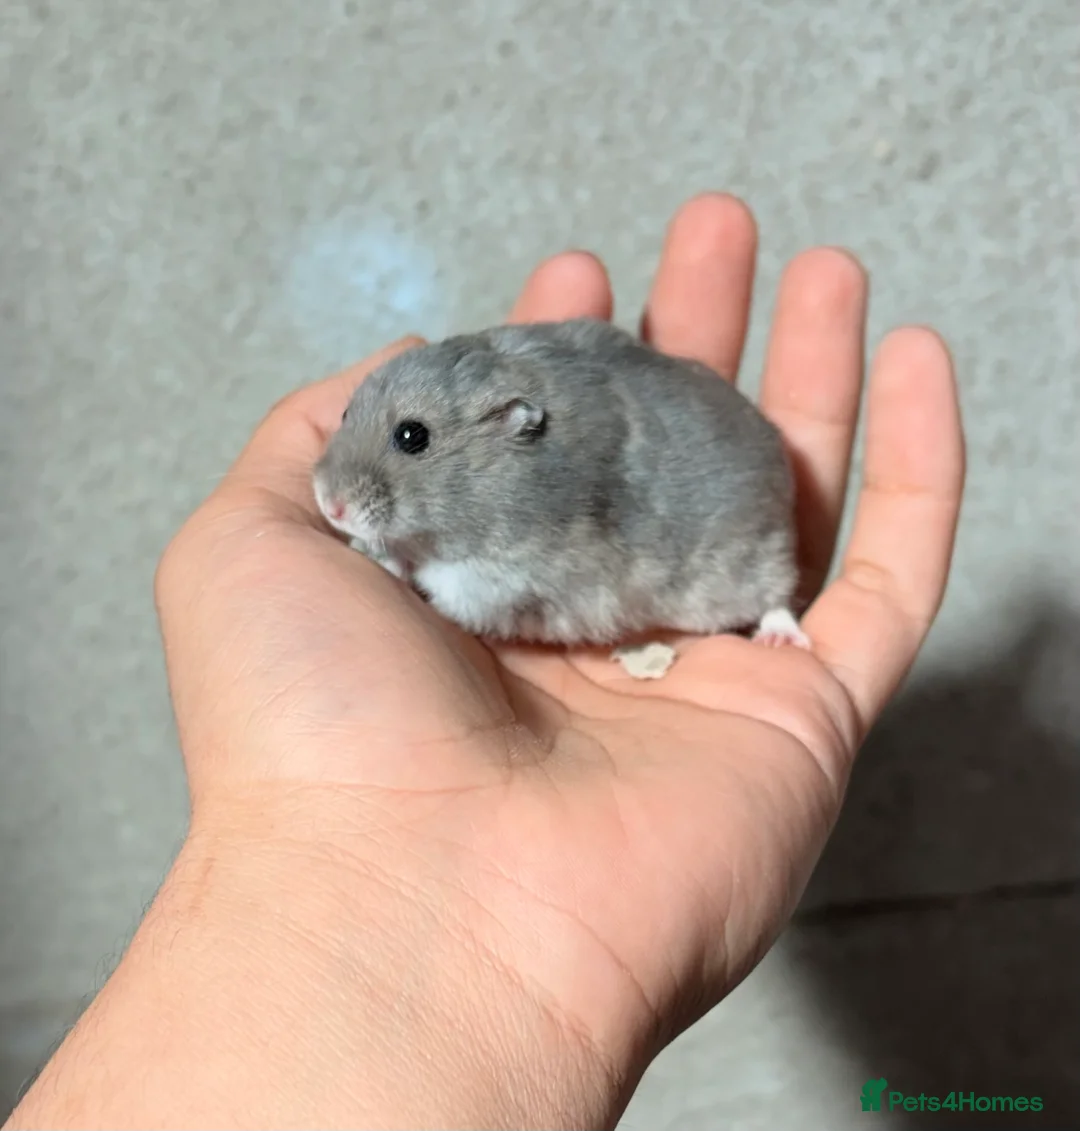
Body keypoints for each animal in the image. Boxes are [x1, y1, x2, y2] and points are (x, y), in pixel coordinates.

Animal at [313, 318, 809, 649]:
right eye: (345, 413)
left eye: (412, 436)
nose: (330, 506)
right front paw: (363, 546)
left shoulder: (496, 581)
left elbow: (427, 573)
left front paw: (379, 555)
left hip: (756, 557)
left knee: (777, 598)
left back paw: (781, 641)